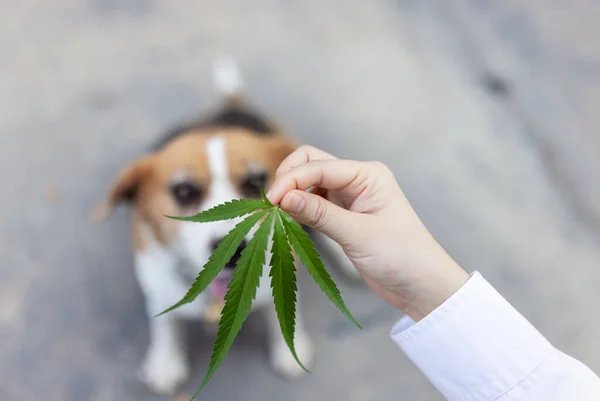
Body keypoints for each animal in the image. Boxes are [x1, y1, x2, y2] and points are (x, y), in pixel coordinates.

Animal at [93, 58, 356, 394]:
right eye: (184, 191)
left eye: (256, 182)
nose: (233, 252)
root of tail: (229, 106)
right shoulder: (156, 284)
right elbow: (164, 323)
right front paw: (166, 361)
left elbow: (281, 314)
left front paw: (289, 349)